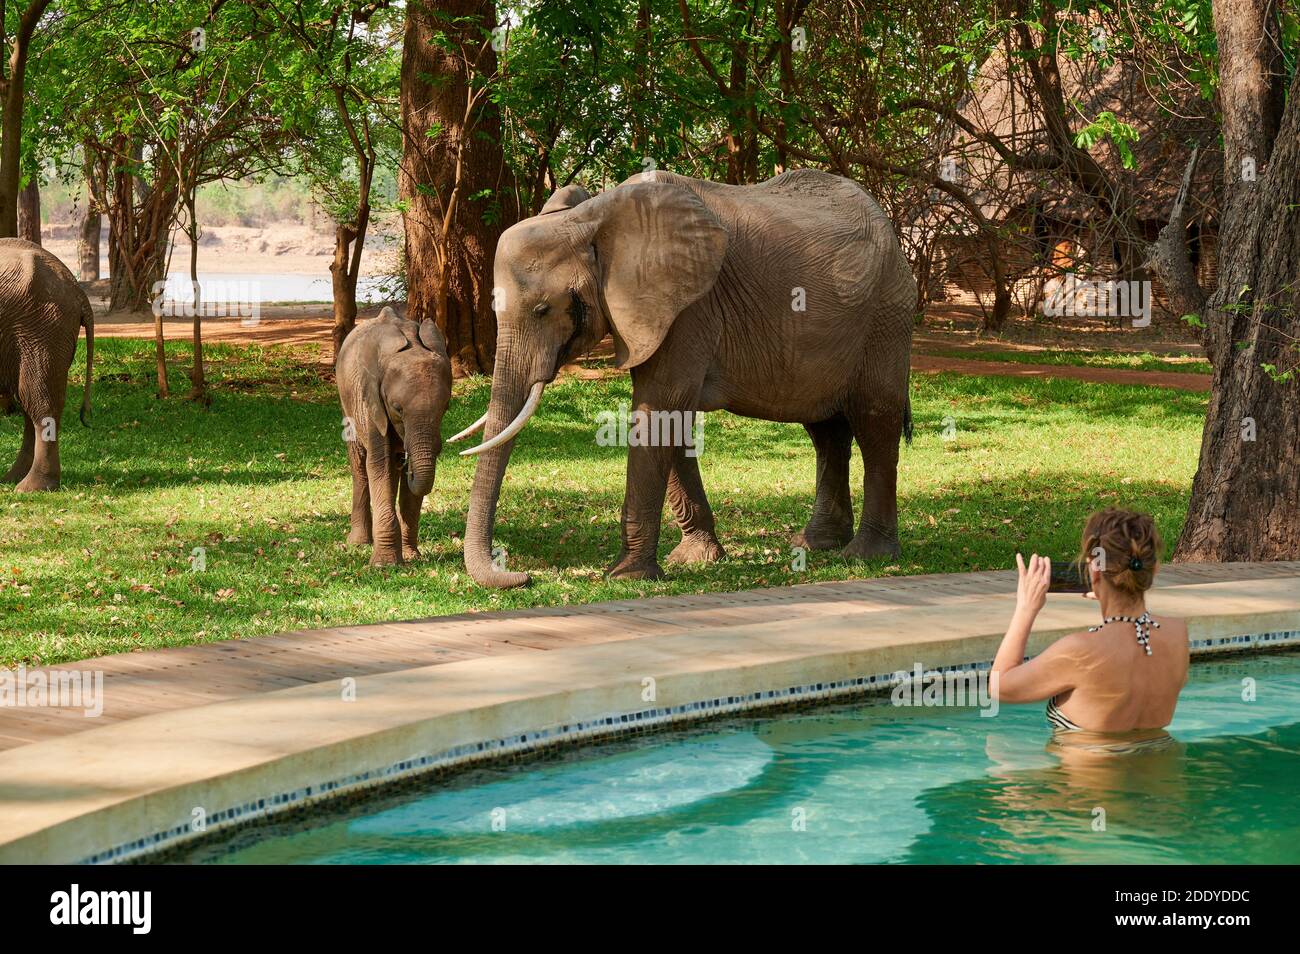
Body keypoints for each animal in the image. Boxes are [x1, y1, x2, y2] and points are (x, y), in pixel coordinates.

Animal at [0, 239, 94, 496]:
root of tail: (78, 291)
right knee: (28, 401)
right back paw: (11, 479)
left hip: (42, 328)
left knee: (39, 401)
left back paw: (30, 488)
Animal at [335, 306, 452, 564]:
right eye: (397, 408)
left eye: (445, 407)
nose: (407, 459)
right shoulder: (371, 402)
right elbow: (380, 464)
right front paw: (384, 565)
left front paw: (412, 557)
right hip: (347, 403)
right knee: (360, 466)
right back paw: (359, 543)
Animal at [454, 171, 915, 590]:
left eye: (543, 310)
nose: (522, 577)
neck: (591, 219)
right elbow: (670, 418)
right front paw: (696, 560)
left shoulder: (690, 307)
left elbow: (658, 406)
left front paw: (626, 576)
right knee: (826, 431)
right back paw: (817, 544)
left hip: (885, 317)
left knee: (874, 422)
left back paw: (866, 555)